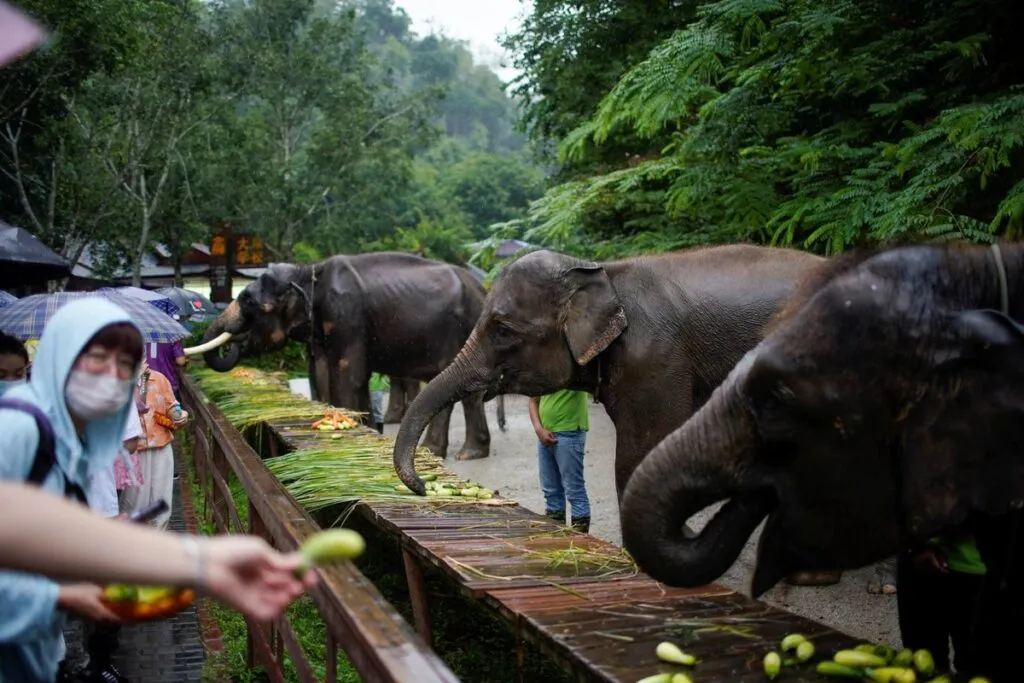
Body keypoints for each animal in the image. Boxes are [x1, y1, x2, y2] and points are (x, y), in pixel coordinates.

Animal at [184, 250, 507, 458]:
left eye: (248, 301)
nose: (232, 342)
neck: (309, 271)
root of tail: (484, 289)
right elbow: (321, 374)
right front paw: (358, 425)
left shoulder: (346, 314)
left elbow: (347, 374)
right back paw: (471, 453)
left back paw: (437, 451)